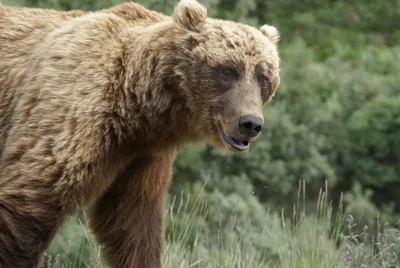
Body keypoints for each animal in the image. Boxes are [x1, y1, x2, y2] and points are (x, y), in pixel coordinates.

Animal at [0, 0, 282, 268]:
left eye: (263, 78)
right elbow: (28, 201)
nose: (250, 123)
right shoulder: (73, 112)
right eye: (228, 70)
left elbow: (132, 225)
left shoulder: (140, 159)